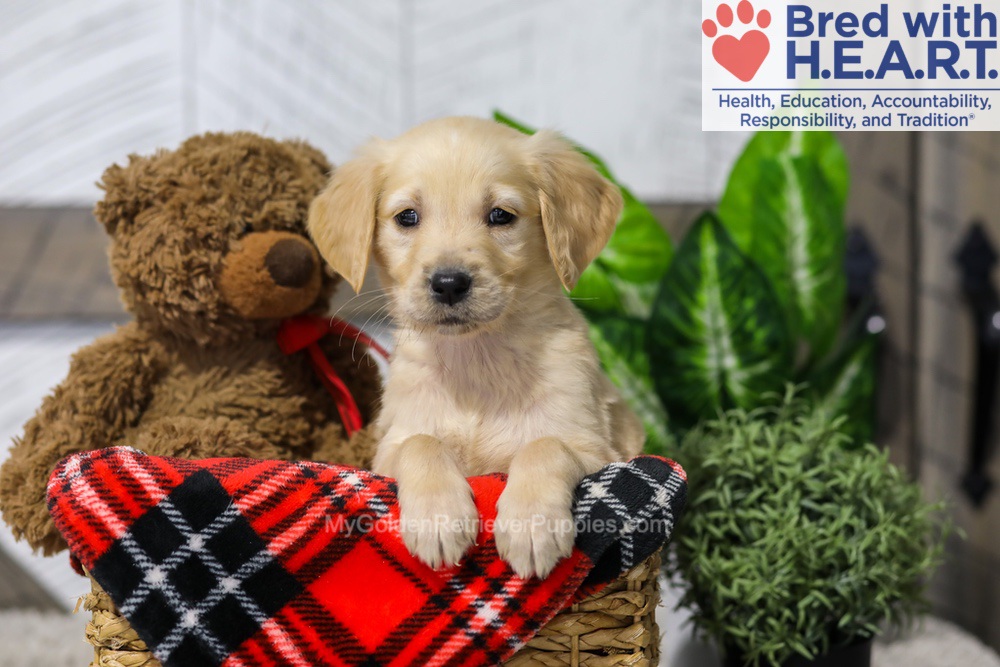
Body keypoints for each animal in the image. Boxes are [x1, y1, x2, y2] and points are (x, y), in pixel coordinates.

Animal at [308, 117, 643, 578]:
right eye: (407, 217)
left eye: (501, 215)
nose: (449, 283)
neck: (476, 360)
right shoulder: (389, 448)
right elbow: (421, 443)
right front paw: (439, 518)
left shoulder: (597, 449)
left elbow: (544, 445)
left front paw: (530, 525)